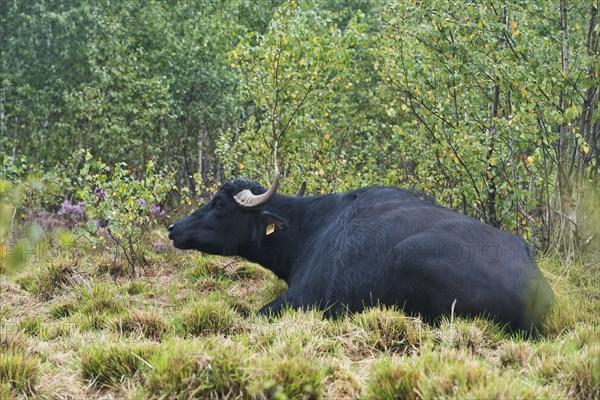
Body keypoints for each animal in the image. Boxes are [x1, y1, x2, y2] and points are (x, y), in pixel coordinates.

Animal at [168, 173, 552, 330]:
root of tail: (536, 286)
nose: (173, 228)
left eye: (218, 204)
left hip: (411, 255)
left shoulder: (300, 298)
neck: (310, 228)